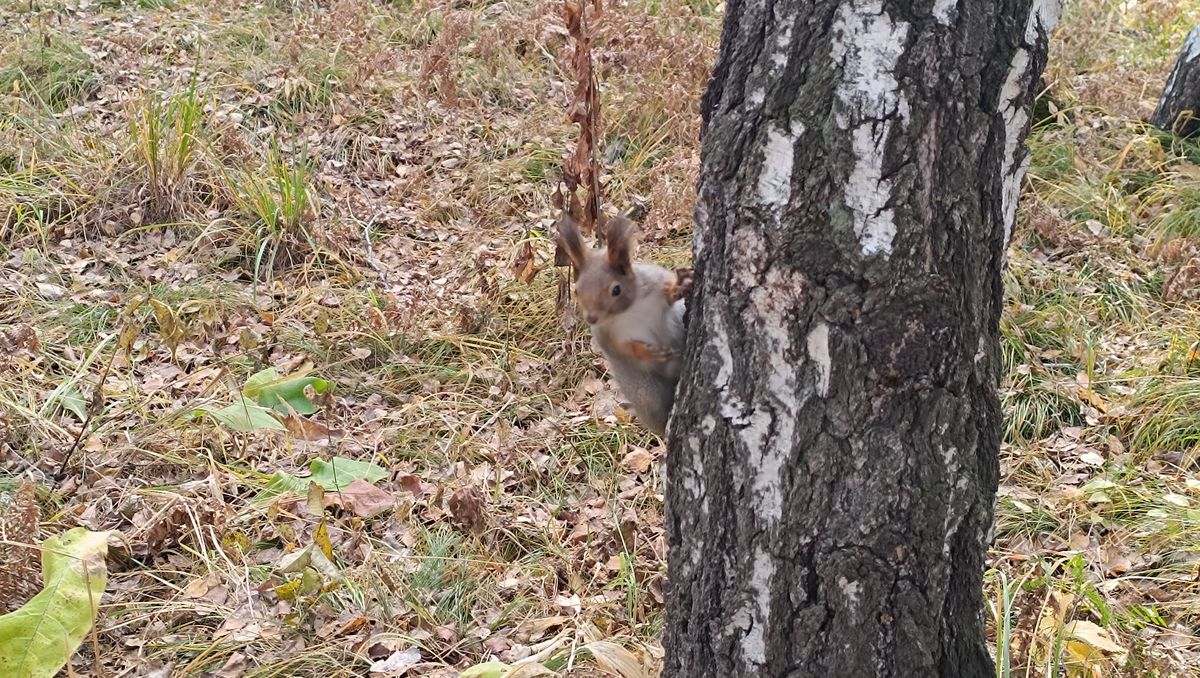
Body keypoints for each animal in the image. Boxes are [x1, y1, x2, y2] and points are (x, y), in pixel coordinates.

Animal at [554, 211, 691, 436]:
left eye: (616, 290)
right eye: (577, 290)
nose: (591, 318)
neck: (630, 310)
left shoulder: (653, 284)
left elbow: (669, 294)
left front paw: (678, 287)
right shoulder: (607, 335)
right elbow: (624, 348)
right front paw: (648, 353)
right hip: (647, 393)